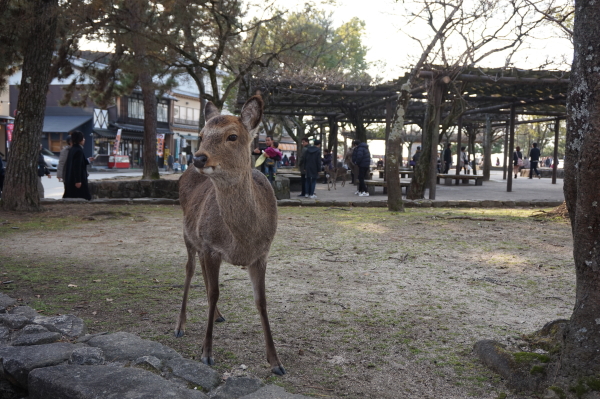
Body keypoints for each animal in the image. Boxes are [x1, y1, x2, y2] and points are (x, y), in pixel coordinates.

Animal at [176, 95, 286, 376]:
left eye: (232, 136)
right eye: (201, 135)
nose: (198, 158)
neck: (242, 241)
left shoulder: (262, 254)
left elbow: (261, 301)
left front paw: (276, 361)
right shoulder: (210, 246)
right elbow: (215, 291)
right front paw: (206, 353)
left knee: (202, 275)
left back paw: (217, 315)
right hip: (188, 235)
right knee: (190, 271)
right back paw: (180, 325)